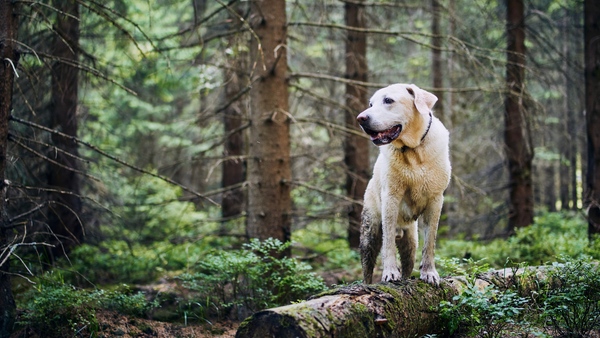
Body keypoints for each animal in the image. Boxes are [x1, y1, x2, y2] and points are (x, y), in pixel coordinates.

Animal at [356, 82, 450, 286]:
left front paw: (429, 273)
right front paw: (390, 272)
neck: (414, 151)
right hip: (369, 233)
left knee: (409, 262)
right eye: (370, 103)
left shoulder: (435, 200)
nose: (361, 118)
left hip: (410, 243)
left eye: (388, 100)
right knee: (367, 270)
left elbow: (430, 241)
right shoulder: (391, 197)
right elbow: (388, 242)